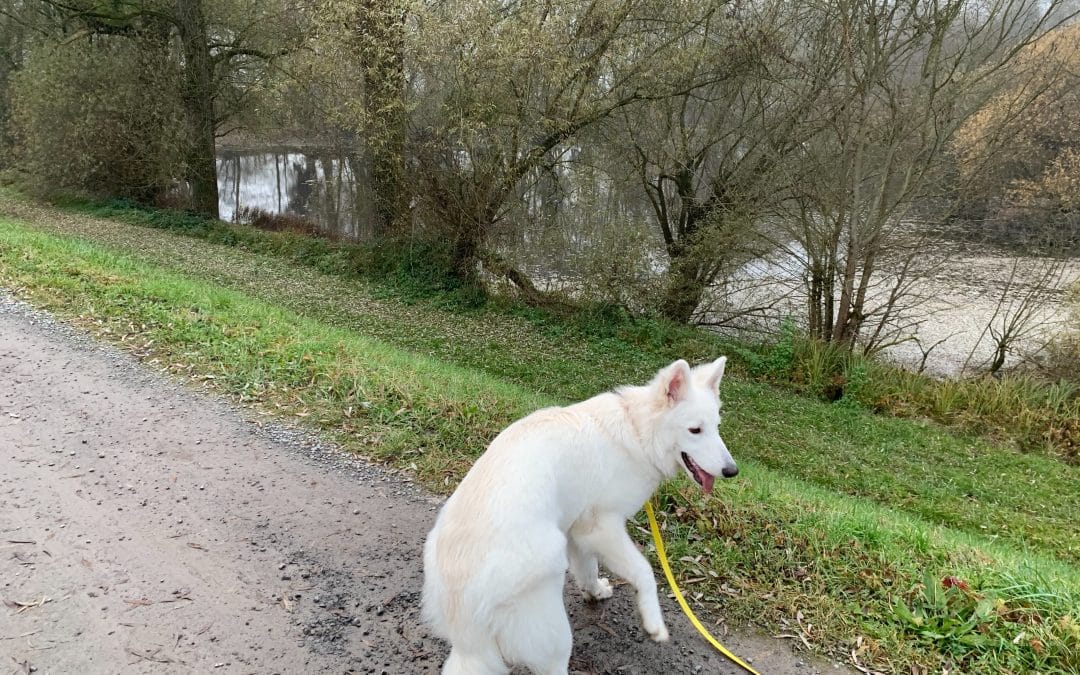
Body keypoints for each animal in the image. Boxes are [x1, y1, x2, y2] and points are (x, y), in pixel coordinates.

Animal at [419, 356, 734, 669]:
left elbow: (587, 569)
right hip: (555, 636)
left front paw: (595, 592)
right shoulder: (601, 527)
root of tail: (466, 628)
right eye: (695, 430)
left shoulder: (577, 531)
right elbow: (644, 571)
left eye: (717, 427)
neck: (636, 429)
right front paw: (654, 621)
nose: (732, 471)